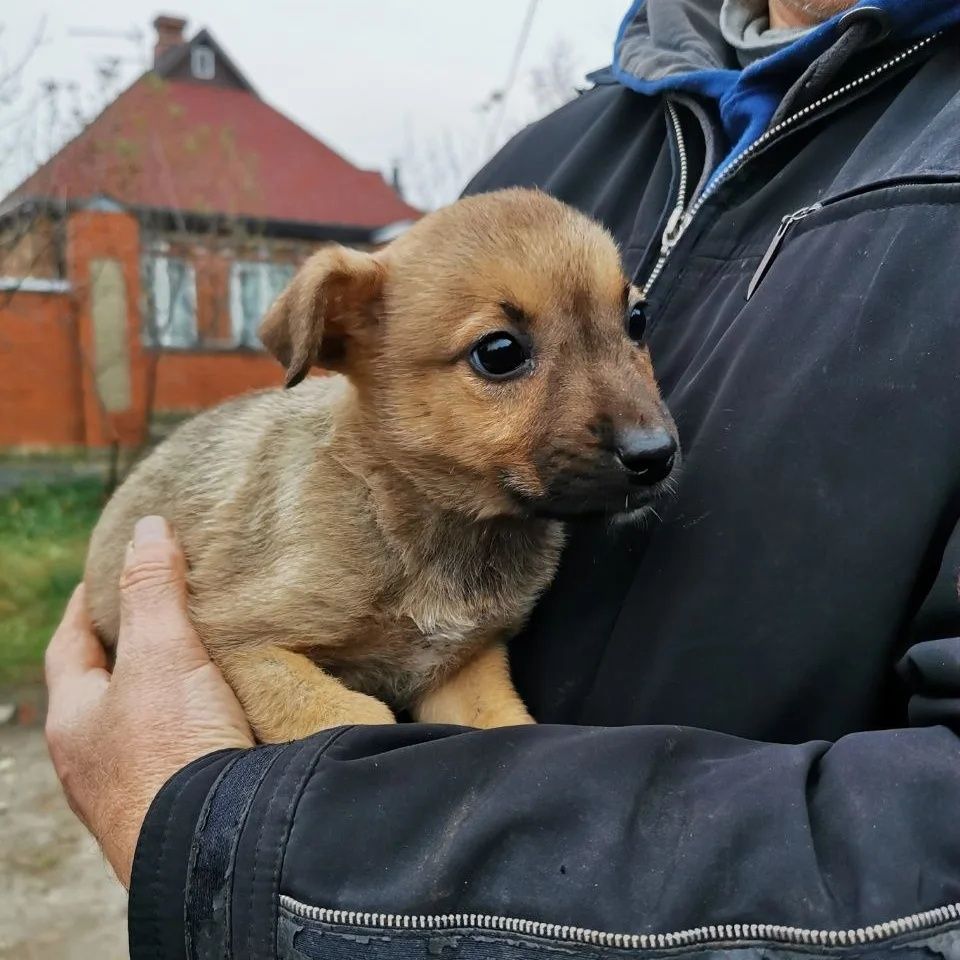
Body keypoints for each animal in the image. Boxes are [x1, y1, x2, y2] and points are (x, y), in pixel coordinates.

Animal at [86, 189, 680, 744]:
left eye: (637, 319)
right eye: (499, 351)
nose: (657, 455)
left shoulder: (461, 668)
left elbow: (505, 724)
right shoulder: (239, 638)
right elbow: (350, 714)